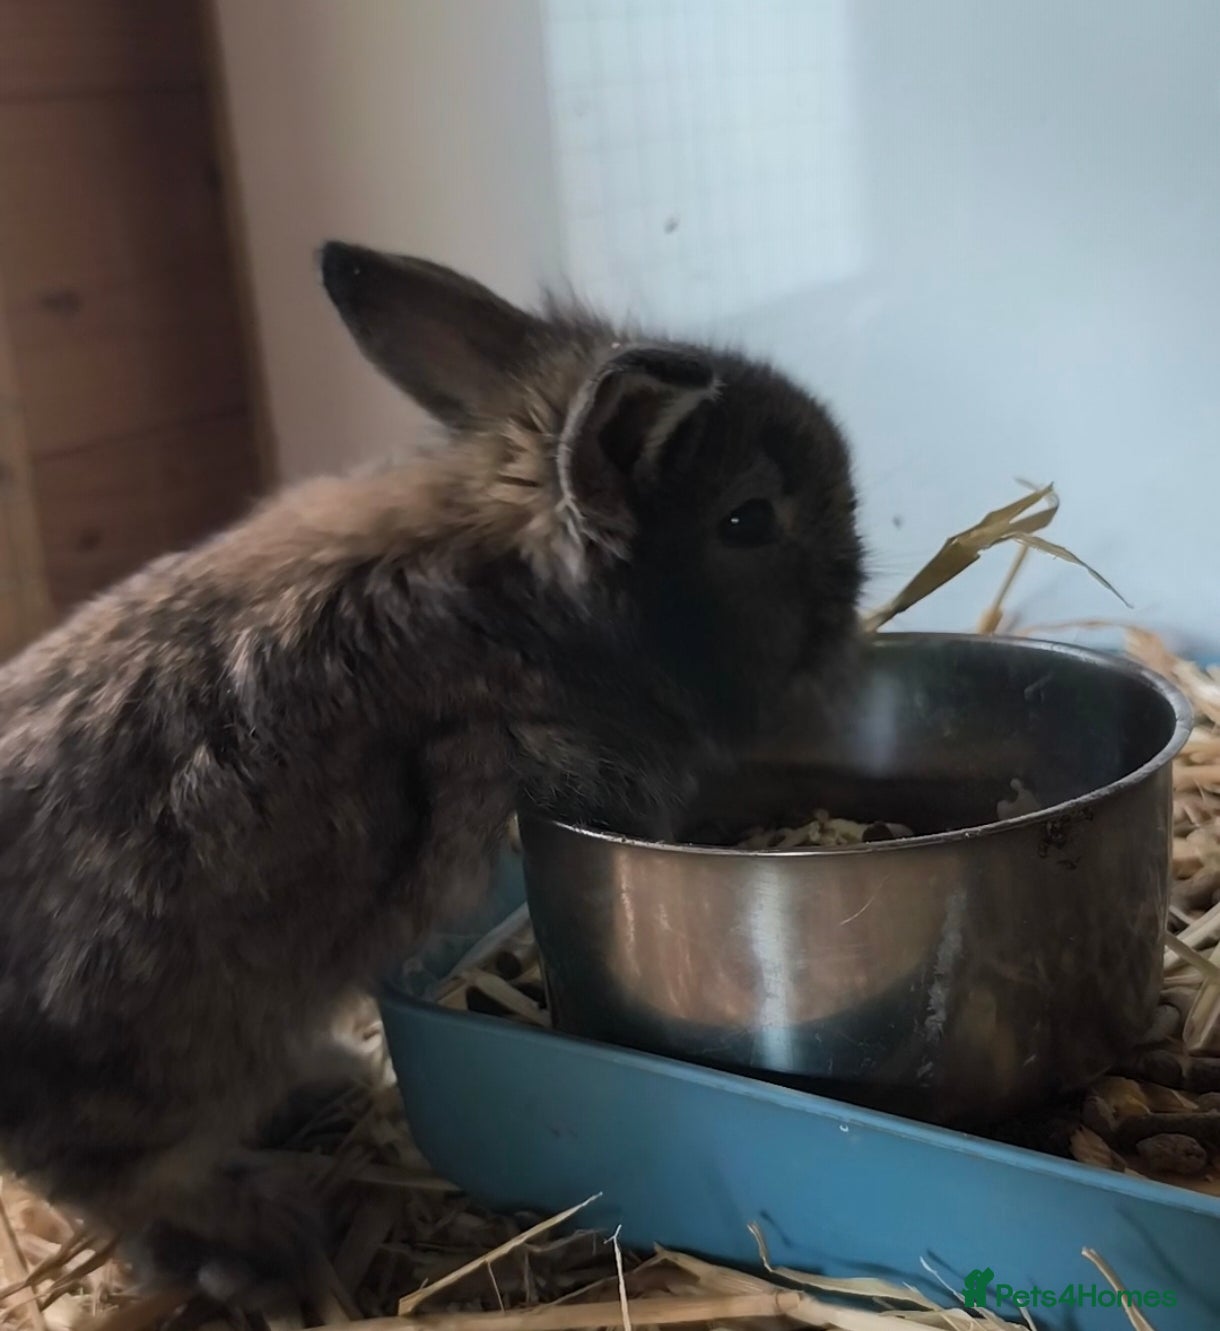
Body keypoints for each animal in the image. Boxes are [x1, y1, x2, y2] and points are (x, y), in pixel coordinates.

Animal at [0, 241, 864, 1307]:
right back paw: (265, 1240)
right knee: (124, 1187)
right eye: (748, 520)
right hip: (152, 1076)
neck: (520, 595)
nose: (853, 596)